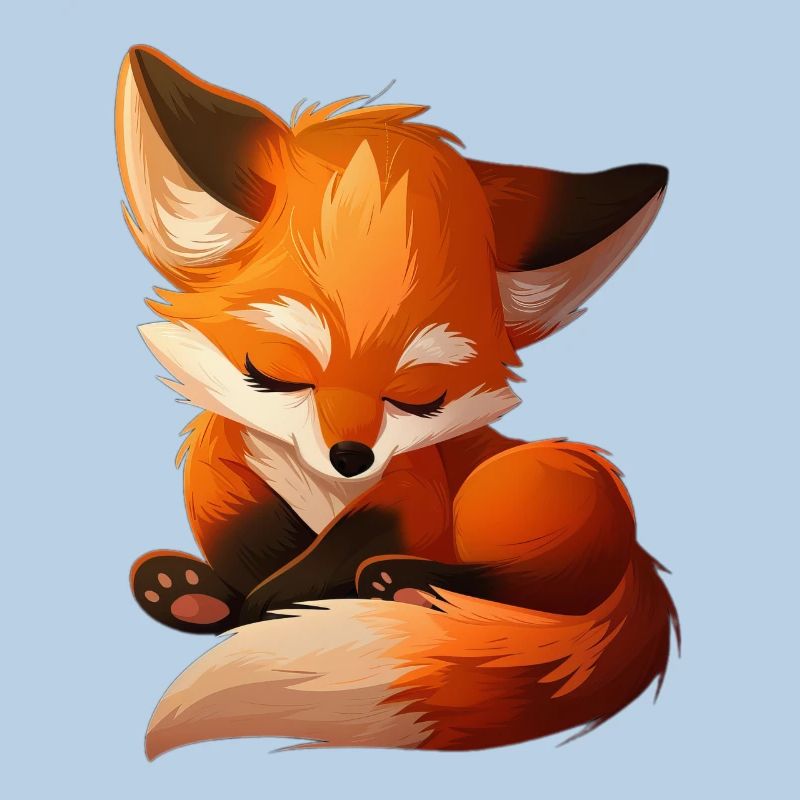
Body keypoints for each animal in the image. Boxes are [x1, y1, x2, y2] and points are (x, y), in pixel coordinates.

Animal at [117, 45, 678, 757]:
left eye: (419, 398)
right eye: (275, 374)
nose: (351, 456)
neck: (317, 486)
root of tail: (638, 558)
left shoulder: (414, 496)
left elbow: (340, 548)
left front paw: (271, 608)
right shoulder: (224, 478)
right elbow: (250, 541)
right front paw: (233, 598)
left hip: (504, 492)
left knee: (548, 581)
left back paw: (408, 587)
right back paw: (190, 594)